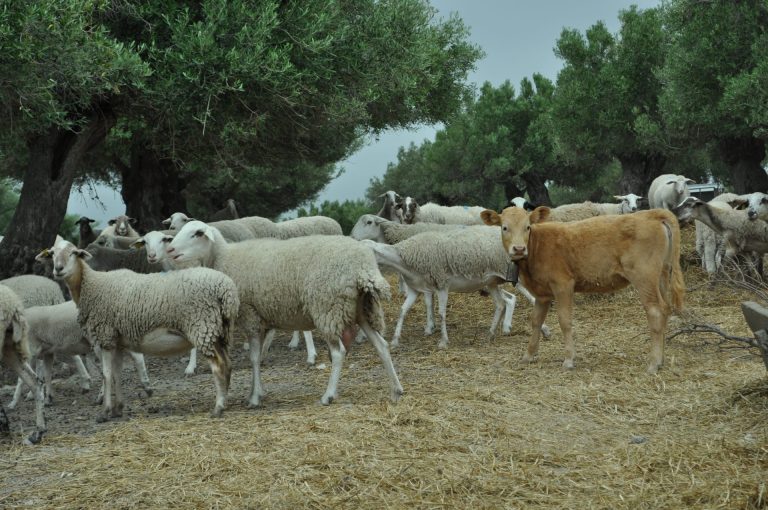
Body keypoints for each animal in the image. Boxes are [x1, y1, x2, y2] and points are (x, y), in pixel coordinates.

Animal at [36, 241, 238, 420]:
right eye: (52, 254)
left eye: (73, 253)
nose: (58, 269)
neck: (91, 285)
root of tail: (226, 288)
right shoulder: (117, 342)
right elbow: (117, 374)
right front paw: (118, 409)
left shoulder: (106, 338)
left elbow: (106, 375)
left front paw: (105, 411)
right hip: (219, 331)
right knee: (227, 364)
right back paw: (226, 401)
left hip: (202, 326)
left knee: (218, 367)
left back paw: (218, 407)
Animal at [166, 221, 404, 408]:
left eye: (197, 233)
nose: (170, 250)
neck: (223, 257)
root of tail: (363, 267)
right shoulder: (261, 319)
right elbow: (259, 356)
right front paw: (257, 392)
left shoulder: (250, 315)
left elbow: (254, 358)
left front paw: (254, 398)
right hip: (362, 310)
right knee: (381, 346)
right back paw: (396, 390)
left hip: (327, 308)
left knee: (338, 353)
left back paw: (328, 396)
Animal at [480, 205, 684, 372]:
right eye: (504, 227)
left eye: (527, 227)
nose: (519, 249)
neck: (537, 248)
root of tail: (651, 214)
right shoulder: (542, 294)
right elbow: (536, 321)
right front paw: (528, 355)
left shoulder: (563, 285)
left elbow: (564, 321)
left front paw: (569, 360)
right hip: (662, 275)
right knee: (665, 308)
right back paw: (661, 360)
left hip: (644, 277)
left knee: (655, 311)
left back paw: (653, 363)